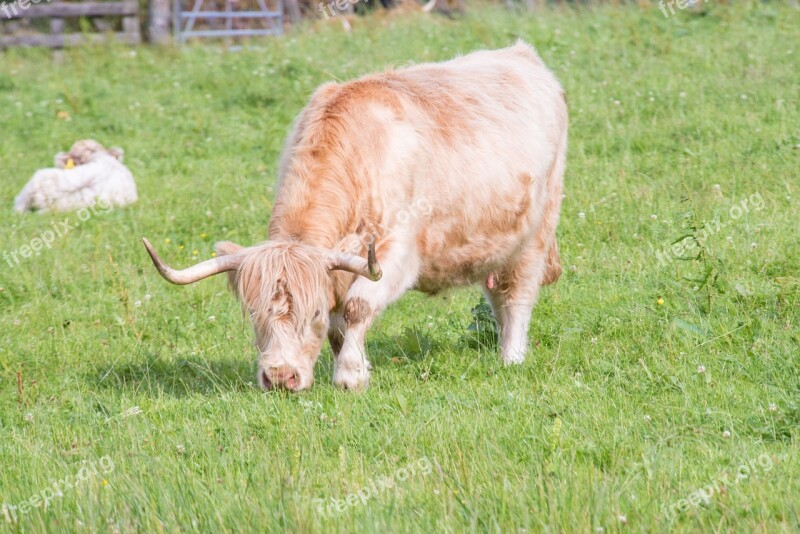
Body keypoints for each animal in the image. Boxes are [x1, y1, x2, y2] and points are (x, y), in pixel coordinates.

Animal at [145, 40, 568, 394]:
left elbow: (355, 308)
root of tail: (520, 54)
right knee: (497, 296)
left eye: (312, 311)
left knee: (517, 298)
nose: (280, 377)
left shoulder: (396, 252)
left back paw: (511, 359)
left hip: (535, 235)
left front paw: (350, 375)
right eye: (254, 313)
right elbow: (338, 327)